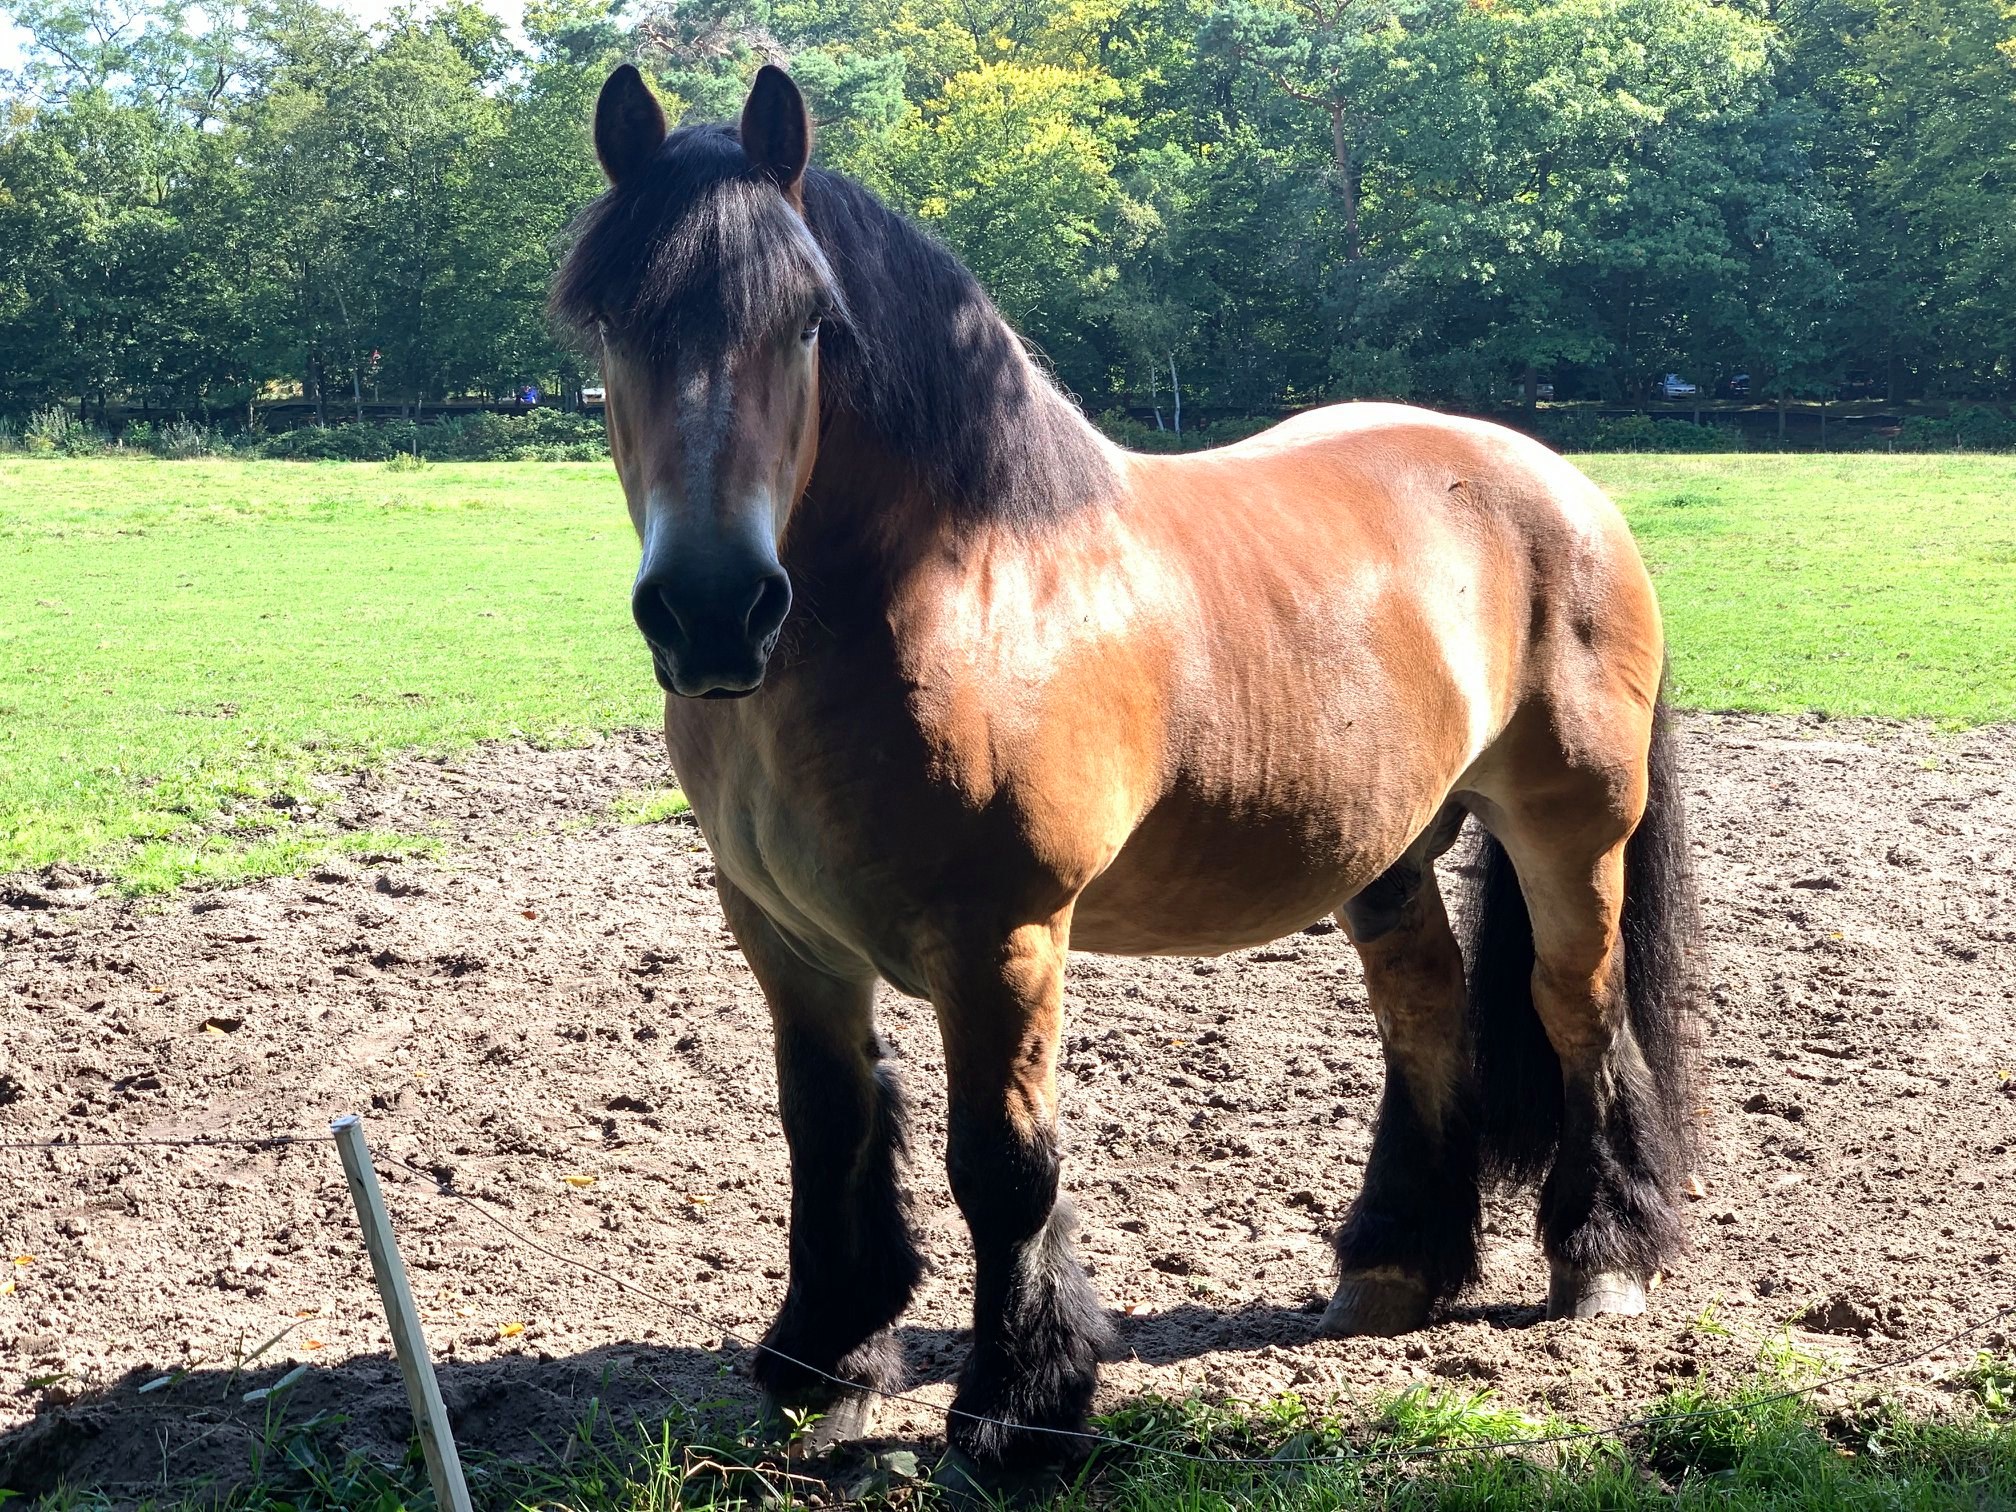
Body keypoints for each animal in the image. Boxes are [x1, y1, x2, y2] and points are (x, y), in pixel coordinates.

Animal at [552, 65, 1701, 1483]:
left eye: (813, 323)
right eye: (613, 319)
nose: (713, 612)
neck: (957, 589)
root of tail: (1559, 483)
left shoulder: (1002, 938)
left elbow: (1002, 1166)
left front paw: (1019, 1408)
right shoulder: (782, 931)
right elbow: (825, 1129)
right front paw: (827, 1367)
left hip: (1569, 829)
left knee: (1574, 1006)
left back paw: (1602, 1258)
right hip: (1386, 846)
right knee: (1426, 1009)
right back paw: (1392, 1267)